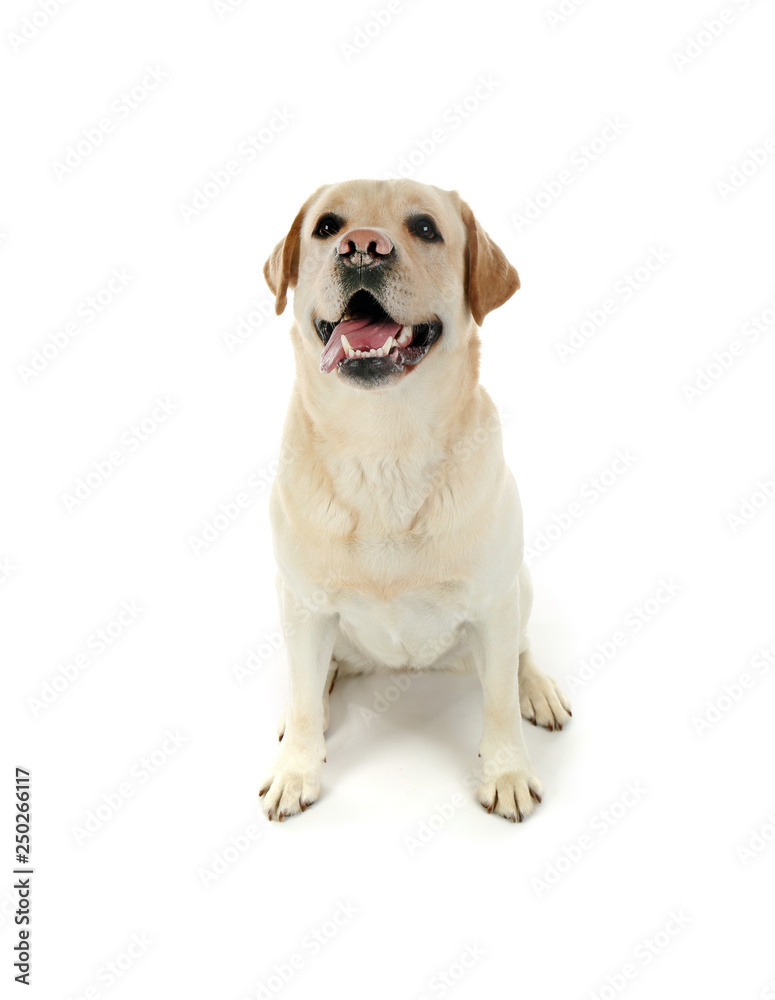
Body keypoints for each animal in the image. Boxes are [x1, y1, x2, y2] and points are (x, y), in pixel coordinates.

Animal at [260, 178, 568, 820]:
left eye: (425, 228)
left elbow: (498, 701)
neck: (385, 446)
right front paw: (296, 768)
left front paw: (506, 772)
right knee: (310, 684)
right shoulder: (303, 601)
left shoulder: (493, 601)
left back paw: (537, 689)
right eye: (327, 227)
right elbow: (303, 702)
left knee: (518, 656)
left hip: (519, 585)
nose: (361, 247)